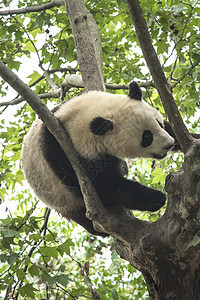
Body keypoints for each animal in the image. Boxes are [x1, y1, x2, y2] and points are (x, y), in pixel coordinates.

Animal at [21, 82, 177, 237]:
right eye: (147, 137)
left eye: (159, 123)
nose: (169, 144)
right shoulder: (63, 151)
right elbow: (105, 186)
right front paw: (156, 198)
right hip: (59, 196)